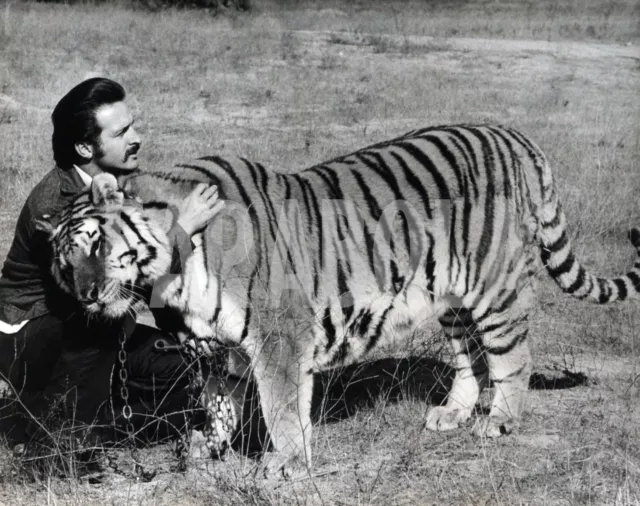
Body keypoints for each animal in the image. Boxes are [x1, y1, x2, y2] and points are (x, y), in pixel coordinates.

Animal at [46, 123, 640, 478]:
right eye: (63, 264)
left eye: (95, 243)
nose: (88, 296)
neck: (170, 272)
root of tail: (515, 135)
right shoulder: (219, 348)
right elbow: (219, 405)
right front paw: (205, 448)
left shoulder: (278, 336)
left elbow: (282, 409)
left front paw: (285, 465)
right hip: (449, 297)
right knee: (469, 357)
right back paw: (451, 414)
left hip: (496, 288)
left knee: (512, 358)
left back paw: (499, 422)